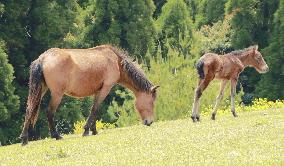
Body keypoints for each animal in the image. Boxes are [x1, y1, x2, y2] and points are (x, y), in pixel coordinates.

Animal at [19, 44, 160, 145]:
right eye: (151, 102)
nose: (149, 122)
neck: (115, 60)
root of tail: (42, 58)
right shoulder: (105, 89)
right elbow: (94, 109)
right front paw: (87, 130)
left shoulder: (98, 90)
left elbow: (95, 110)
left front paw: (94, 130)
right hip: (57, 94)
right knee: (49, 112)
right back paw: (56, 135)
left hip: (41, 90)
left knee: (30, 109)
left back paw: (24, 139)